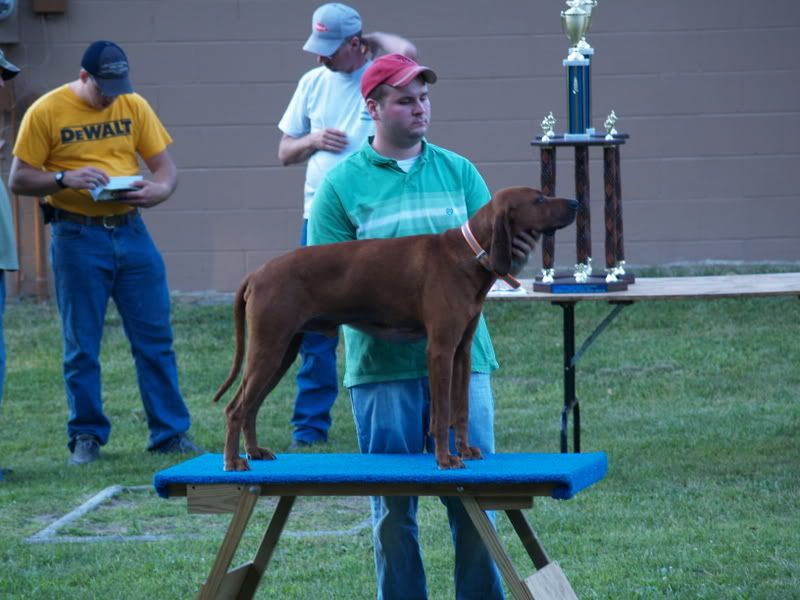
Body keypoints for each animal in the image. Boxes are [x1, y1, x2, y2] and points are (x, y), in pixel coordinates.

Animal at [213, 187, 578, 471]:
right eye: (539, 198)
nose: (576, 202)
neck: (470, 254)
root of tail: (257, 272)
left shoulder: (461, 350)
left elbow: (460, 409)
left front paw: (466, 449)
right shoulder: (440, 349)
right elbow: (442, 412)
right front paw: (445, 459)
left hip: (283, 352)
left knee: (251, 406)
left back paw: (254, 452)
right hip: (268, 349)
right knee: (235, 407)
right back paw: (233, 462)